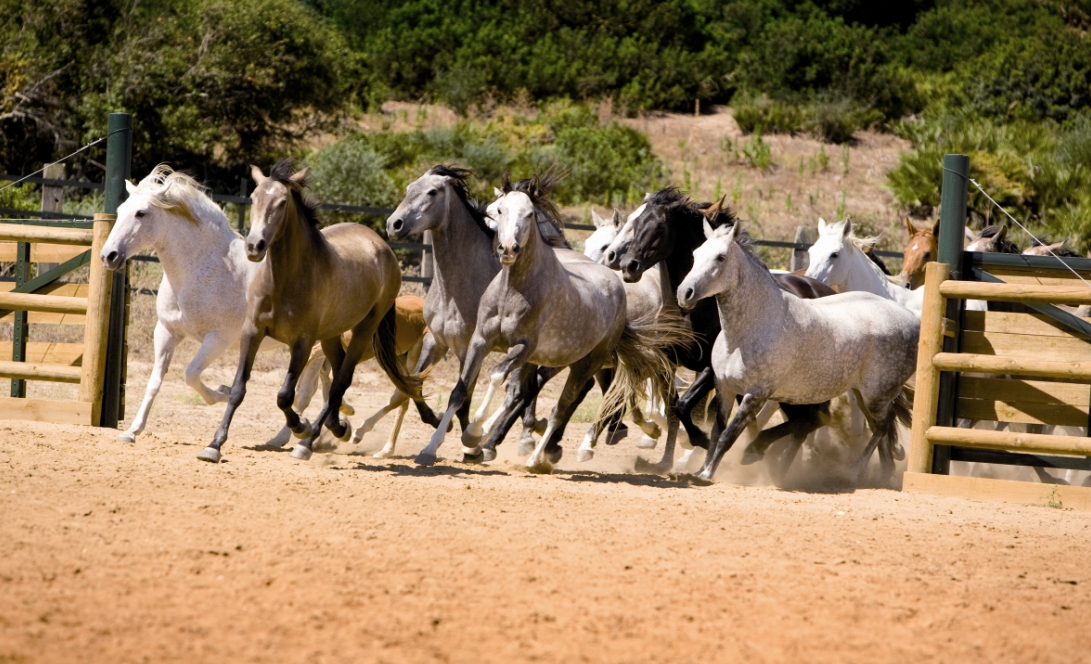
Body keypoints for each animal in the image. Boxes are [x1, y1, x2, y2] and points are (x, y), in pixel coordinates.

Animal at [102, 165, 346, 444]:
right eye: (120, 209)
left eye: (141, 213)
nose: (108, 256)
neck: (203, 269)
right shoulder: (166, 331)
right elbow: (155, 381)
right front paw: (133, 431)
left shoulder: (218, 339)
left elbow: (191, 374)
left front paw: (222, 391)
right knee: (315, 388)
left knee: (311, 390)